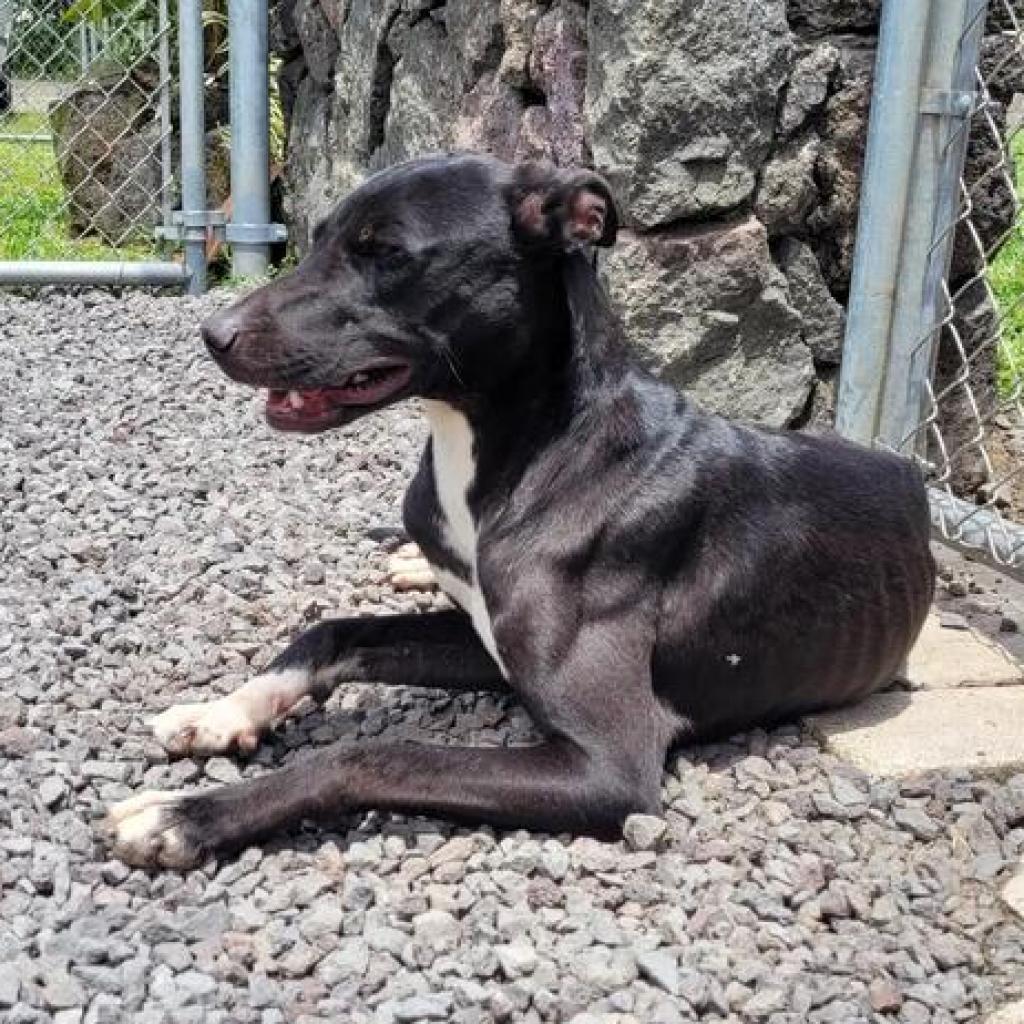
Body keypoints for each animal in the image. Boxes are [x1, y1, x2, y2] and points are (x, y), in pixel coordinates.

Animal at [110, 155, 937, 868]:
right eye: (317, 240)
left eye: (387, 254)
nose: (213, 336)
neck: (525, 451)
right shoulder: (487, 642)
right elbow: (334, 629)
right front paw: (222, 712)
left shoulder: (608, 764)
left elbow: (371, 753)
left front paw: (184, 816)